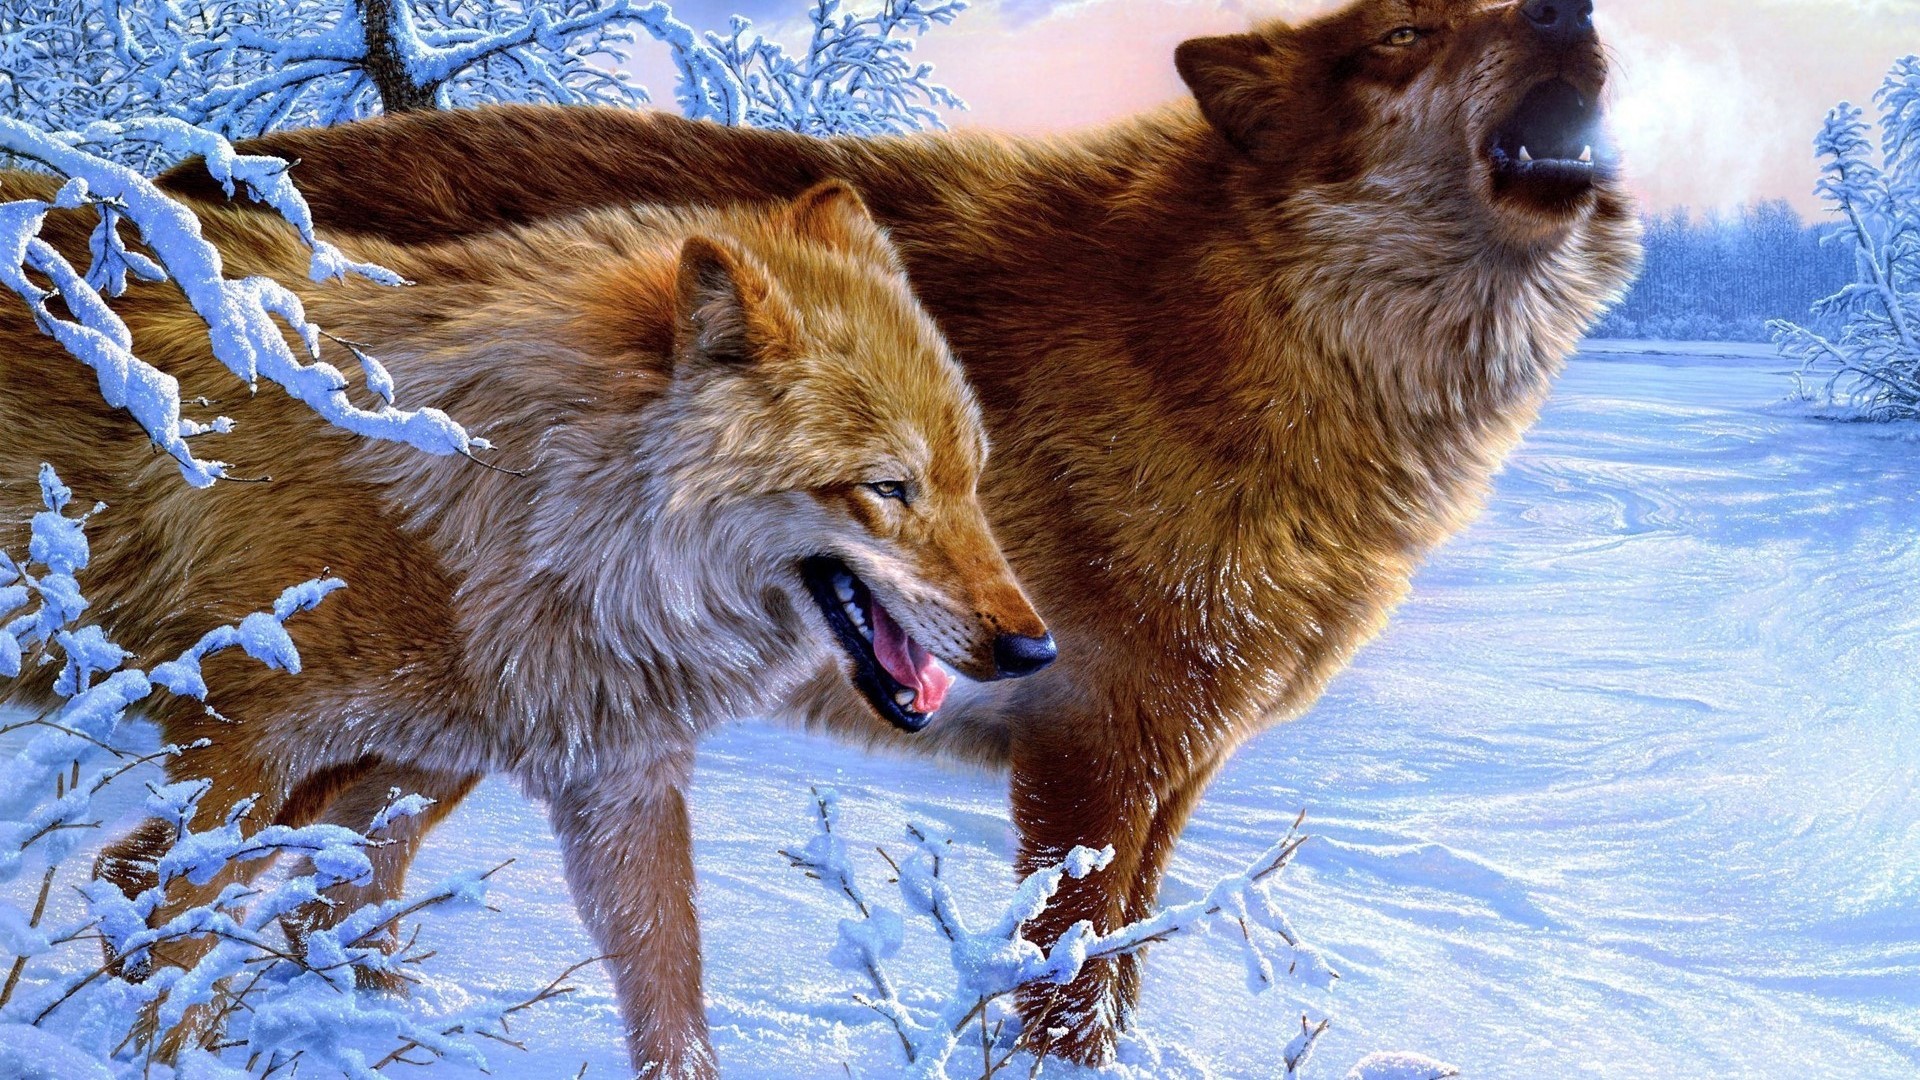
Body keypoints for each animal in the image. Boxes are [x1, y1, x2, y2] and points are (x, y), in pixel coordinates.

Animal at [0, 174, 1055, 1075]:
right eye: (889, 487)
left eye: (970, 479)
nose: (1034, 648)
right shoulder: (237, 753)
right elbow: (161, 929)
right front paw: (138, 1054)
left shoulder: (592, 780)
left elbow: (662, 985)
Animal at [162, 0, 1643, 1061]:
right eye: (1402, 36)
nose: (1567, 8)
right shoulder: (1093, 756)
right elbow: (1062, 995)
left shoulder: (1181, 767)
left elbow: (1122, 977)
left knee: (323, 897)